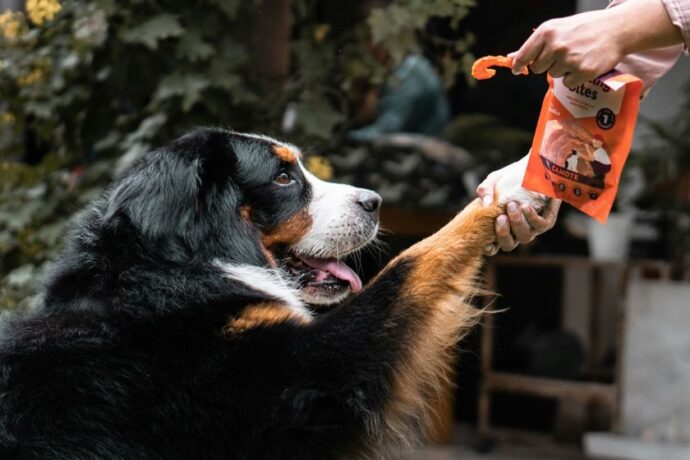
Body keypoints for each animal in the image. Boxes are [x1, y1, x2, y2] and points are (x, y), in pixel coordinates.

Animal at [0, 127, 544, 458]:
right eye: (284, 177)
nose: (374, 201)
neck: (174, 268)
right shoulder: (308, 369)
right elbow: (414, 262)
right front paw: (516, 187)